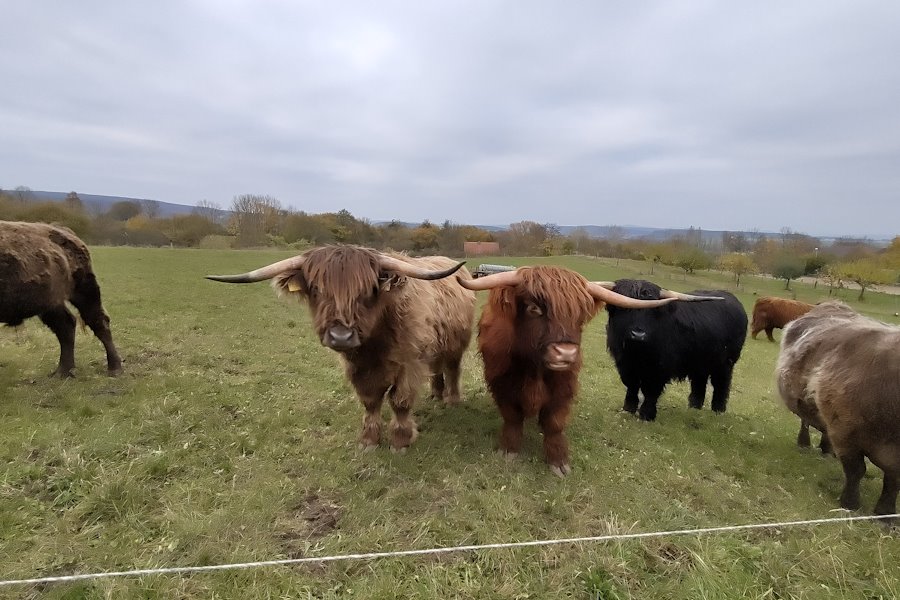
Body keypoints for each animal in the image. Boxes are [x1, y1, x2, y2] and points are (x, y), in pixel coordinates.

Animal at [0, 220, 122, 376]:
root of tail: (66, 232)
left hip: (84, 291)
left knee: (98, 321)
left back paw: (114, 368)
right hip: (50, 303)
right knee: (66, 325)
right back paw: (62, 372)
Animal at [209, 244, 478, 450]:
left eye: (369, 290)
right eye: (316, 289)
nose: (341, 336)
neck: (374, 346)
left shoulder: (410, 363)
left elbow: (400, 400)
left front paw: (400, 441)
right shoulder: (358, 367)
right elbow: (370, 400)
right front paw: (369, 440)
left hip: (456, 345)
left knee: (452, 368)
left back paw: (452, 400)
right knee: (437, 368)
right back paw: (435, 394)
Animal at [458, 268, 688, 478]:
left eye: (579, 315)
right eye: (534, 308)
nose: (566, 353)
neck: (535, 370)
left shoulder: (564, 388)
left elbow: (554, 424)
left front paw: (558, 462)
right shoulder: (502, 384)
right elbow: (512, 418)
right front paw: (509, 451)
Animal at [604, 280, 744, 422]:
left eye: (653, 310)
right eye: (624, 308)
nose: (638, 335)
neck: (636, 353)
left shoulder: (660, 368)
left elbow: (651, 390)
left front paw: (647, 414)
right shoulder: (624, 364)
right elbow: (632, 385)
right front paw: (628, 408)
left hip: (725, 363)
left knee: (721, 383)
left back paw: (718, 410)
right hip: (701, 361)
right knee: (699, 381)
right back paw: (694, 407)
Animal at [772, 302, 900, 516]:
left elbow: (892, 482)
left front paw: (885, 513)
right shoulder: (845, 433)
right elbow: (856, 471)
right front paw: (850, 503)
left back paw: (826, 450)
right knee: (805, 421)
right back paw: (804, 443)